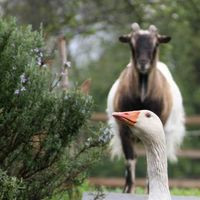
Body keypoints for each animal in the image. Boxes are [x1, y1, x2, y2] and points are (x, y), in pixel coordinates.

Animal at [107, 23, 185, 194]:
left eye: (156, 44)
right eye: (132, 43)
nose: (143, 63)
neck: (142, 98)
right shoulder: (123, 131)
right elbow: (130, 159)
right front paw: (128, 191)